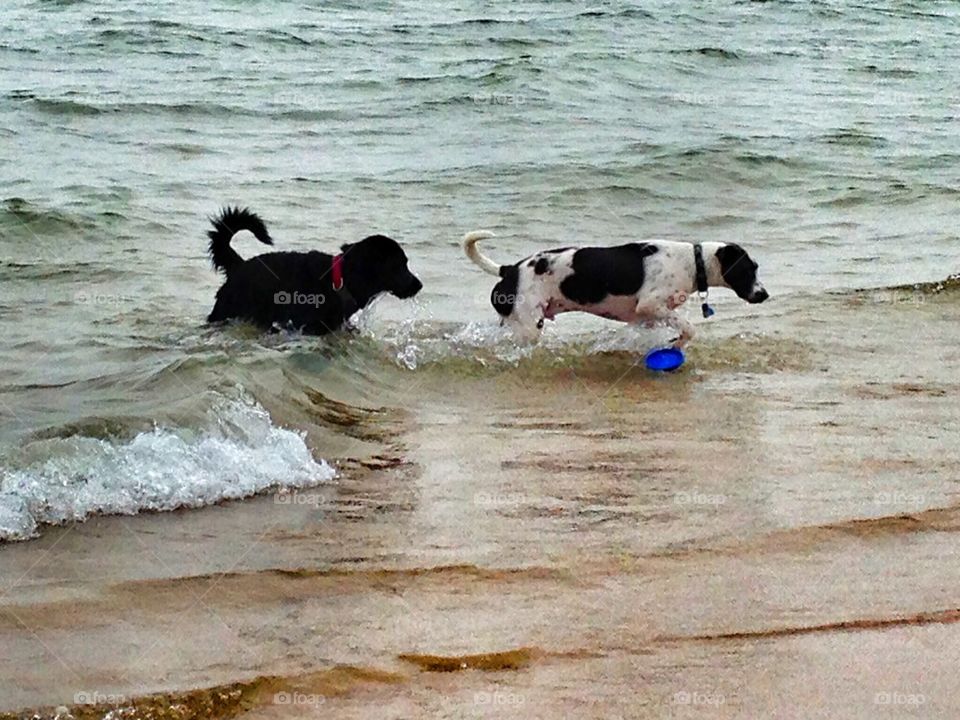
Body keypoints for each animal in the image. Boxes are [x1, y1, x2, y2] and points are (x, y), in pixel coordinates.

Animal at [462, 229, 768, 344]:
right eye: (748, 269)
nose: (764, 294)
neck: (693, 262)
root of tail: (510, 269)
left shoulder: (646, 317)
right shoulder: (650, 305)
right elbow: (688, 328)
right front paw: (680, 340)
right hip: (528, 324)